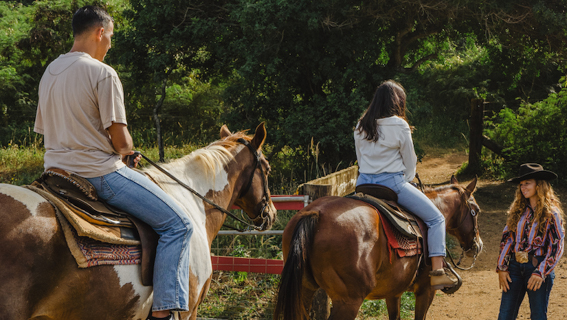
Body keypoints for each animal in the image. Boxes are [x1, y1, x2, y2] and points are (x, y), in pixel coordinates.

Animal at [276, 176, 484, 318]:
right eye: (476, 210)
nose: (478, 245)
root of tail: (315, 213)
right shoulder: (426, 291)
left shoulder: (393, 293)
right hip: (347, 301)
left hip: (304, 290)